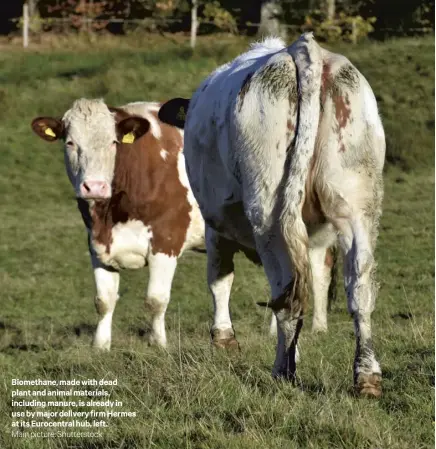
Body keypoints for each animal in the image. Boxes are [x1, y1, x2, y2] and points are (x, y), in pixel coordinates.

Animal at [159, 32, 384, 396]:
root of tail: (303, 49)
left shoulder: (214, 225)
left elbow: (219, 277)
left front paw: (224, 339)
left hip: (269, 213)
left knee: (286, 293)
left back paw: (284, 370)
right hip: (356, 203)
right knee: (359, 288)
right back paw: (366, 376)